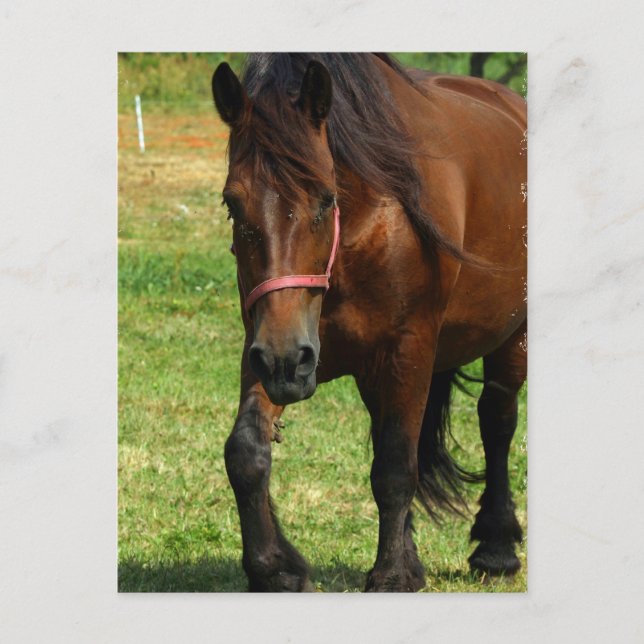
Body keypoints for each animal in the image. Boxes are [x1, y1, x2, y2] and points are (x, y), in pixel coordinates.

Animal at [211, 53, 526, 592]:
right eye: (233, 204)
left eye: (325, 199)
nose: (285, 362)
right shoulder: (267, 343)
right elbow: (247, 451)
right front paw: (275, 568)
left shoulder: (408, 348)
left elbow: (397, 465)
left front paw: (393, 575)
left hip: (511, 336)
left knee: (497, 421)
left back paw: (497, 547)